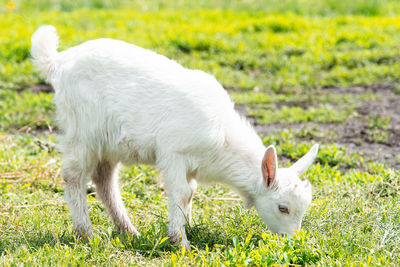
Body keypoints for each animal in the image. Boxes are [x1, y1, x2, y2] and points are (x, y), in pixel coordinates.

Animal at [31, 25, 318, 249]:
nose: (293, 241)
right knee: (74, 175)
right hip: (83, 129)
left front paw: (186, 227)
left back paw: (129, 231)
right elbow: (180, 192)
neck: (222, 140)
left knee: (104, 179)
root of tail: (59, 61)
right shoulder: (174, 153)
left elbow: (190, 194)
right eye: (283, 207)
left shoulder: (192, 166)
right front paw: (180, 241)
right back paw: (87, 234)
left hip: (109, 142)